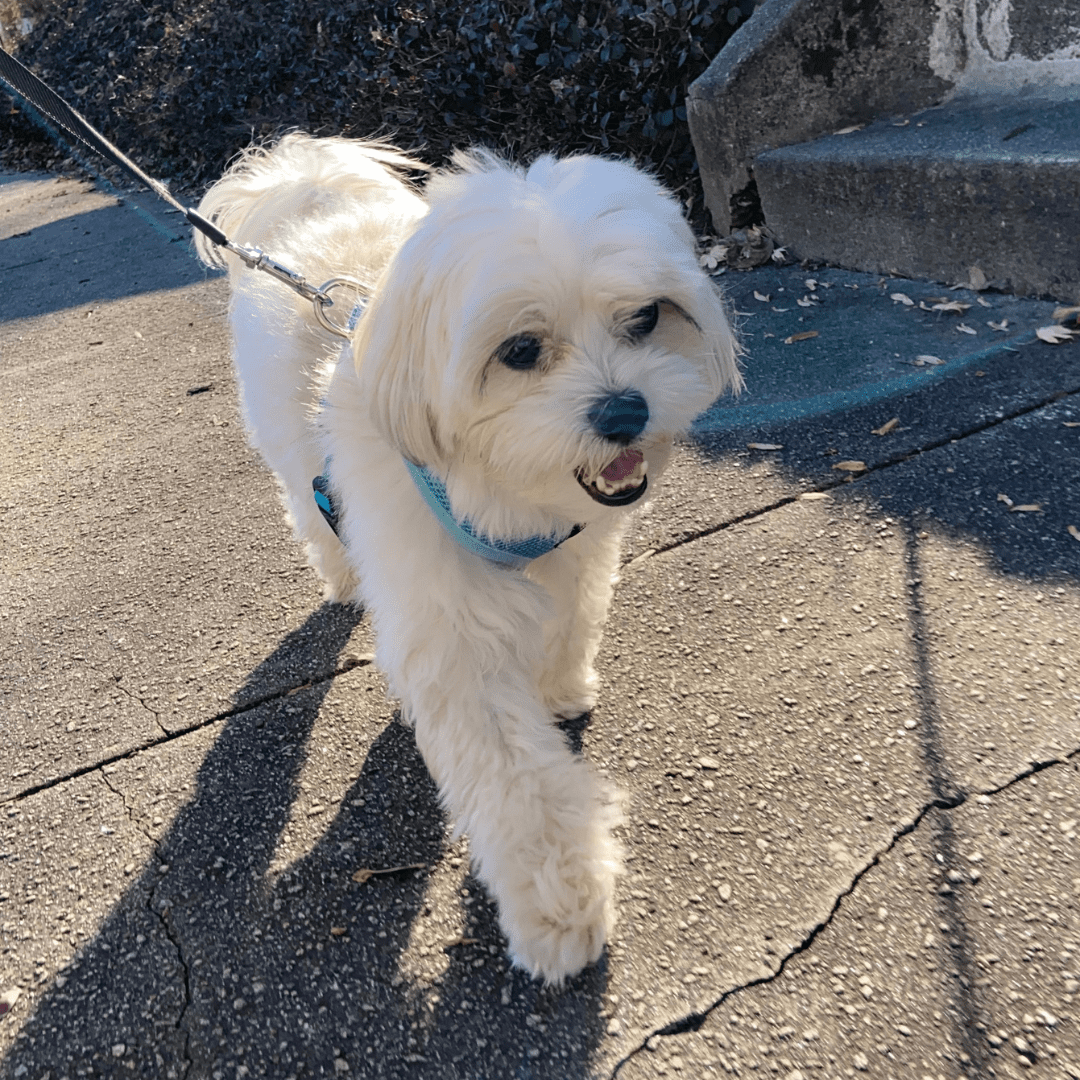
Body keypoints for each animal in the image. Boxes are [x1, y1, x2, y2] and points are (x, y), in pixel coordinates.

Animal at [194, 132, 738, 980]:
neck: (510, 490)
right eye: (521, 350)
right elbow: (516, 781)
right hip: (291, 453)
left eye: (647, 317)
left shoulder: (577, 555)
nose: (625, 411)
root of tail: (309, 183)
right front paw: (562, 905)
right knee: (310, 510)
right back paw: (344, 578)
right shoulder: (453, 634)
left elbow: (569, 620)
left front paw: (559, 687)